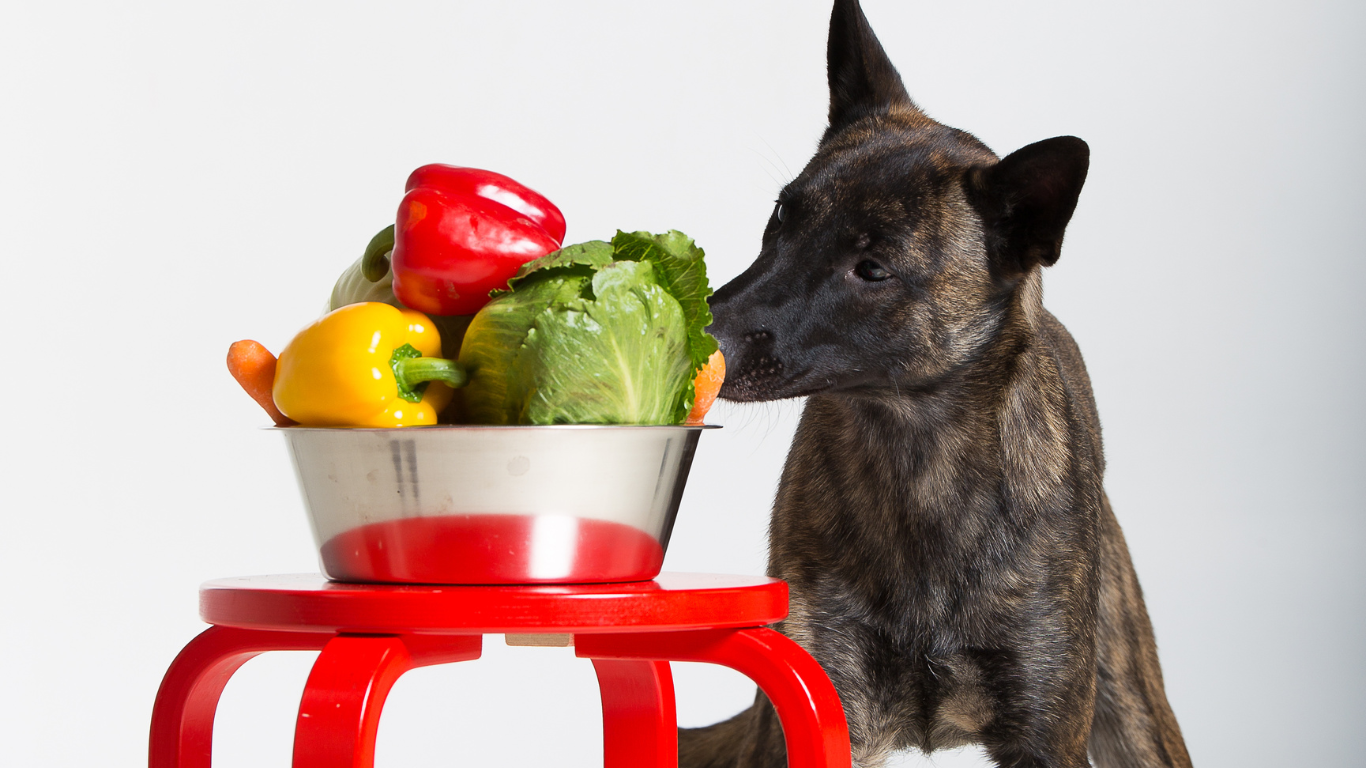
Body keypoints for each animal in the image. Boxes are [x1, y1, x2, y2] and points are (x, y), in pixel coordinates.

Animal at [677, 1, 1191, 765]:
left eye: (873, 269)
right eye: (781, 217)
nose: (701, 339)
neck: (918, 458)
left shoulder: (1046, 738)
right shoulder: (821, 711)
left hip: (1134, 710)